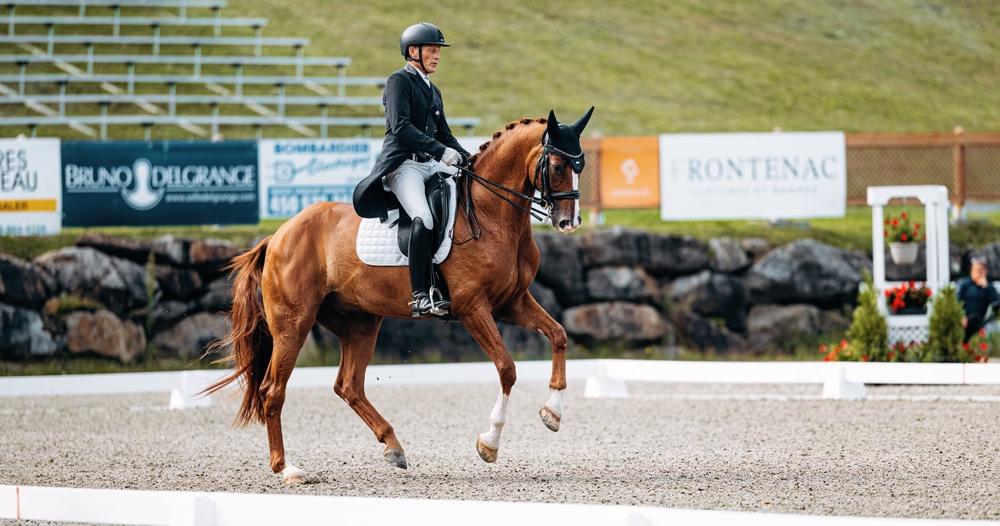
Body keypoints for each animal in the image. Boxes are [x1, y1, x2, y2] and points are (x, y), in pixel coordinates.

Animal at [205, 107, 595, 484]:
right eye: (558, 167)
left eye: (581, 166)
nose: (569, 223)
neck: (490, 213)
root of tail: (278, 235)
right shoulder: (474, 308)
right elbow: (507, 368)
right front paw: (490, 442)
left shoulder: (512, 302)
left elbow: (559, 335)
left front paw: (552, 413)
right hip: (293, 325)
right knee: (273, 391)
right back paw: (287, 469)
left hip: (359, 323)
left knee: (349, 386)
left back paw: (393, 446)